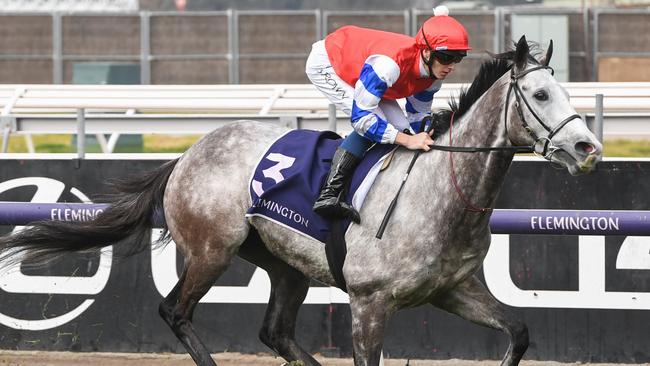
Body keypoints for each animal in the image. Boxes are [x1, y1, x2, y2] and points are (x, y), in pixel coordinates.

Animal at [0, 38, 596, 366]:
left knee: (275, 332)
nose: (588, 147)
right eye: (540, 94)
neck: (442, 190)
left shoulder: (453, 289)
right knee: (176, 310)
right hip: (212, 250)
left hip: (286, 265)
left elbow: (518, 333)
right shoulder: (369, 302)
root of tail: (189, 153)